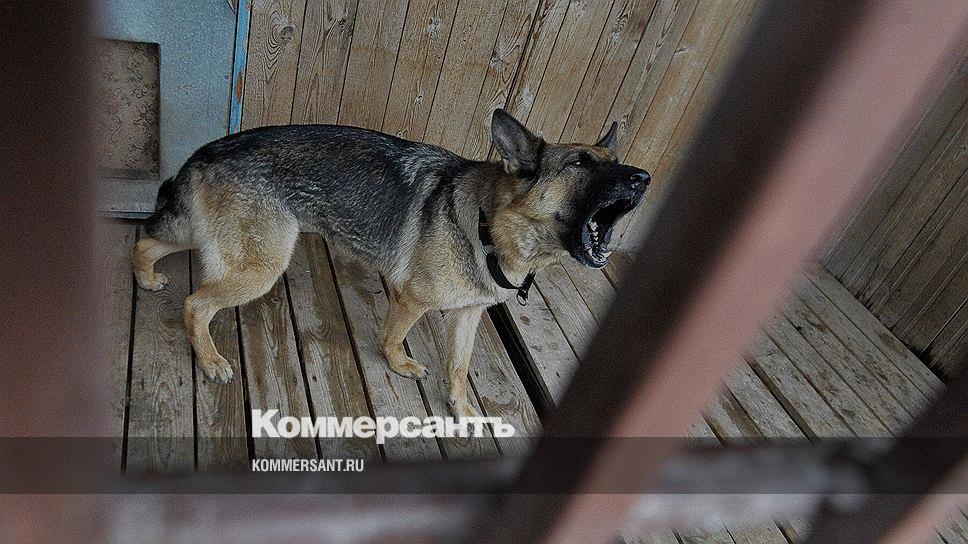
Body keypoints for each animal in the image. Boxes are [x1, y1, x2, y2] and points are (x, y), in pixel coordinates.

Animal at [132, 109, 649, 418]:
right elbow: (393, 337)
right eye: (579, 164)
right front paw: (398, 364)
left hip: (207, 239)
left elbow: (459, 367)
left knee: (145, 241)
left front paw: (461, 410)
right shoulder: (411, 300)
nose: (643, 178)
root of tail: (206, 150)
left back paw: (146, 277)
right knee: (195, 305)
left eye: (613, 158)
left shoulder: (468, 314)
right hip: (260, 267)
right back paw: (211, 360)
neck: (488, 226)